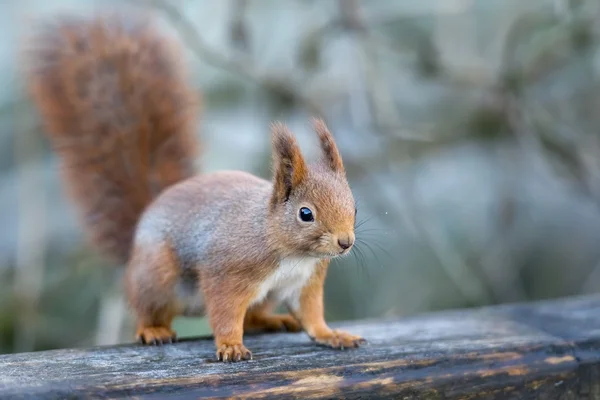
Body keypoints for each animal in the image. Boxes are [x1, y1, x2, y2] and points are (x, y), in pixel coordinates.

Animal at [24, 10, 366, 360]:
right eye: (305, 214)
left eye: (354, 207)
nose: (345, 242)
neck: (291, 251)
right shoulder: (227, 273)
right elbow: (225, 311)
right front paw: (231, 345)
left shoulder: (305, 282)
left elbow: (311, 314)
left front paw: (332, 334)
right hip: (157, 276)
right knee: (147, 309)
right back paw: (153, 330)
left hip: (262, 295)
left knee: (253, 316)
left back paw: (273, 320)